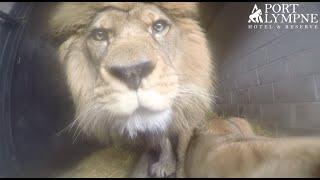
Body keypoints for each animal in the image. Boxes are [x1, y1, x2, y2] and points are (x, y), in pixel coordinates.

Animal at [48, 2, 214, 178]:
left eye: (159, 26)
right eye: (99, 35)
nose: (132, 72)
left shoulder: (189, 114)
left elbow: (183, 149)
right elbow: (163, 140)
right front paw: (166, 163)